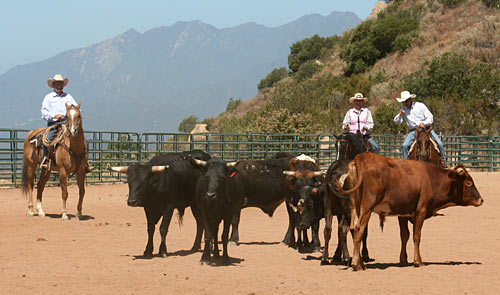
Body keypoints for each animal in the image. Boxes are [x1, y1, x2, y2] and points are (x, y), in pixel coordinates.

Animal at [336, 154, 484, 272]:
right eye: (469, 183)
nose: (481, 200)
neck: (430, 178)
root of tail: (360, 158)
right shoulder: (420, 211)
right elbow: (416, 236)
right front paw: (418, 261)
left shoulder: (403, 213)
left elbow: (404, 236)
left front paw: (403, 260)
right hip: (367, 207)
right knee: (359, 229)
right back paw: (356, 264)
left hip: (354, 206)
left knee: (353, 229)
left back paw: (361, 263)